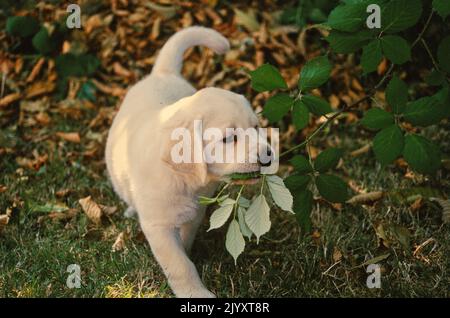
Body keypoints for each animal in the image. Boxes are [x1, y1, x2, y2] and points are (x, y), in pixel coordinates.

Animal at [105, 27, 268, 298]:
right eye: (229, 138)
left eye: (256, 127)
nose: (268, 155)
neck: (185, 180)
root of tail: (162, 73)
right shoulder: (159, 226)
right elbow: (179, 264)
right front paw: (195, 292)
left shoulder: (195, 214)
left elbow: (185, 242)